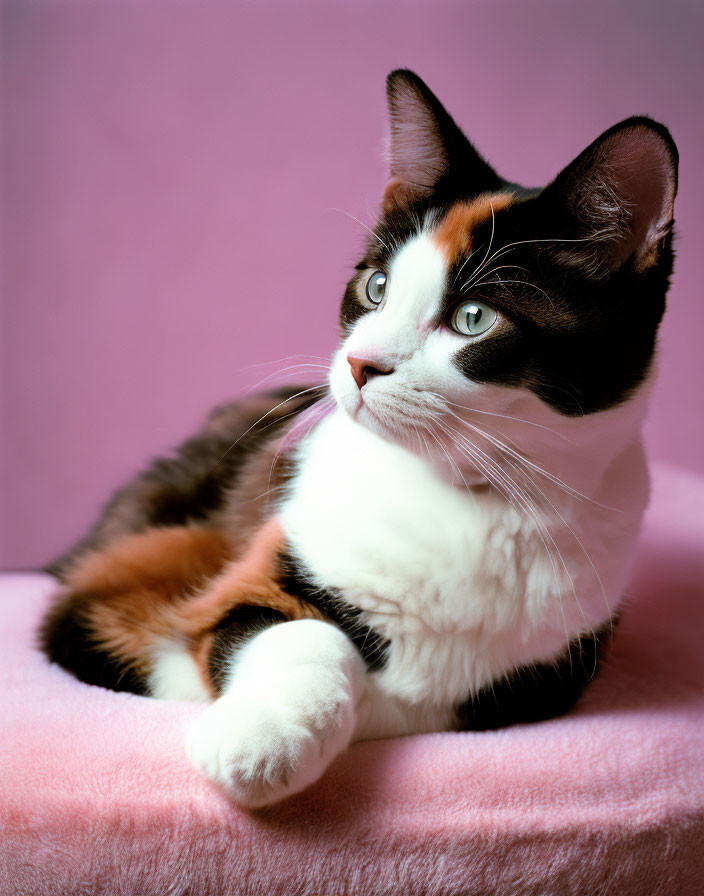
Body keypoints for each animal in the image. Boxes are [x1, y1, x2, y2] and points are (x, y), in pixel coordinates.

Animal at [38, 70, 676, 808]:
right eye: (375, 286)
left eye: (474, 318)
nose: (359, 364)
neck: (468, 498)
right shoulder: (227, 564)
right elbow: (304, 630)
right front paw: (261, 741)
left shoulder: (544, 672)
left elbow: (430, 697)